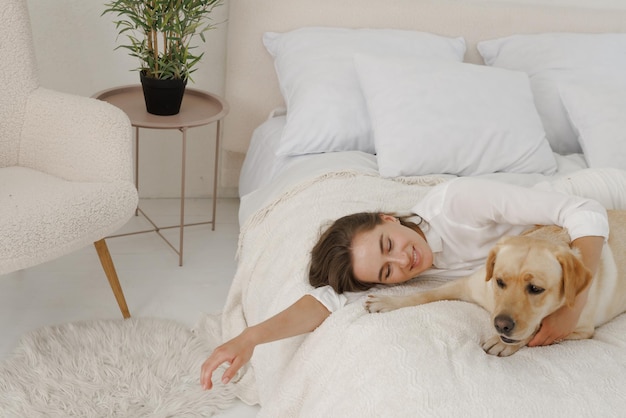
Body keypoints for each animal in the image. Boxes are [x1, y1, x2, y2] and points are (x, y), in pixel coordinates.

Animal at [366, 209, 624, 356]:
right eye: (499, 281)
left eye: (536, 289)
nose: (501, 325)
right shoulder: (465, 285)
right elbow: (425, 294)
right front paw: (388, 301)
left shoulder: (580, 330)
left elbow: (534, 332)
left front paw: (505, 344)